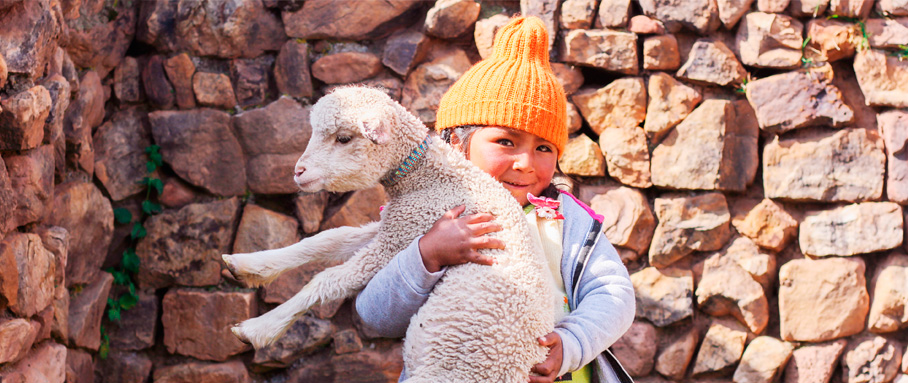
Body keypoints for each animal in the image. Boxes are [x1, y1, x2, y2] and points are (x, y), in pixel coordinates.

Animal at [223, 85, 556, 382]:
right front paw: (248, 265)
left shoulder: (402, 236)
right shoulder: (396, 227)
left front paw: (257, 329)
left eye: (343, 138)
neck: (427, 176)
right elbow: (329, 238)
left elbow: (327, 279)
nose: (298, 172)